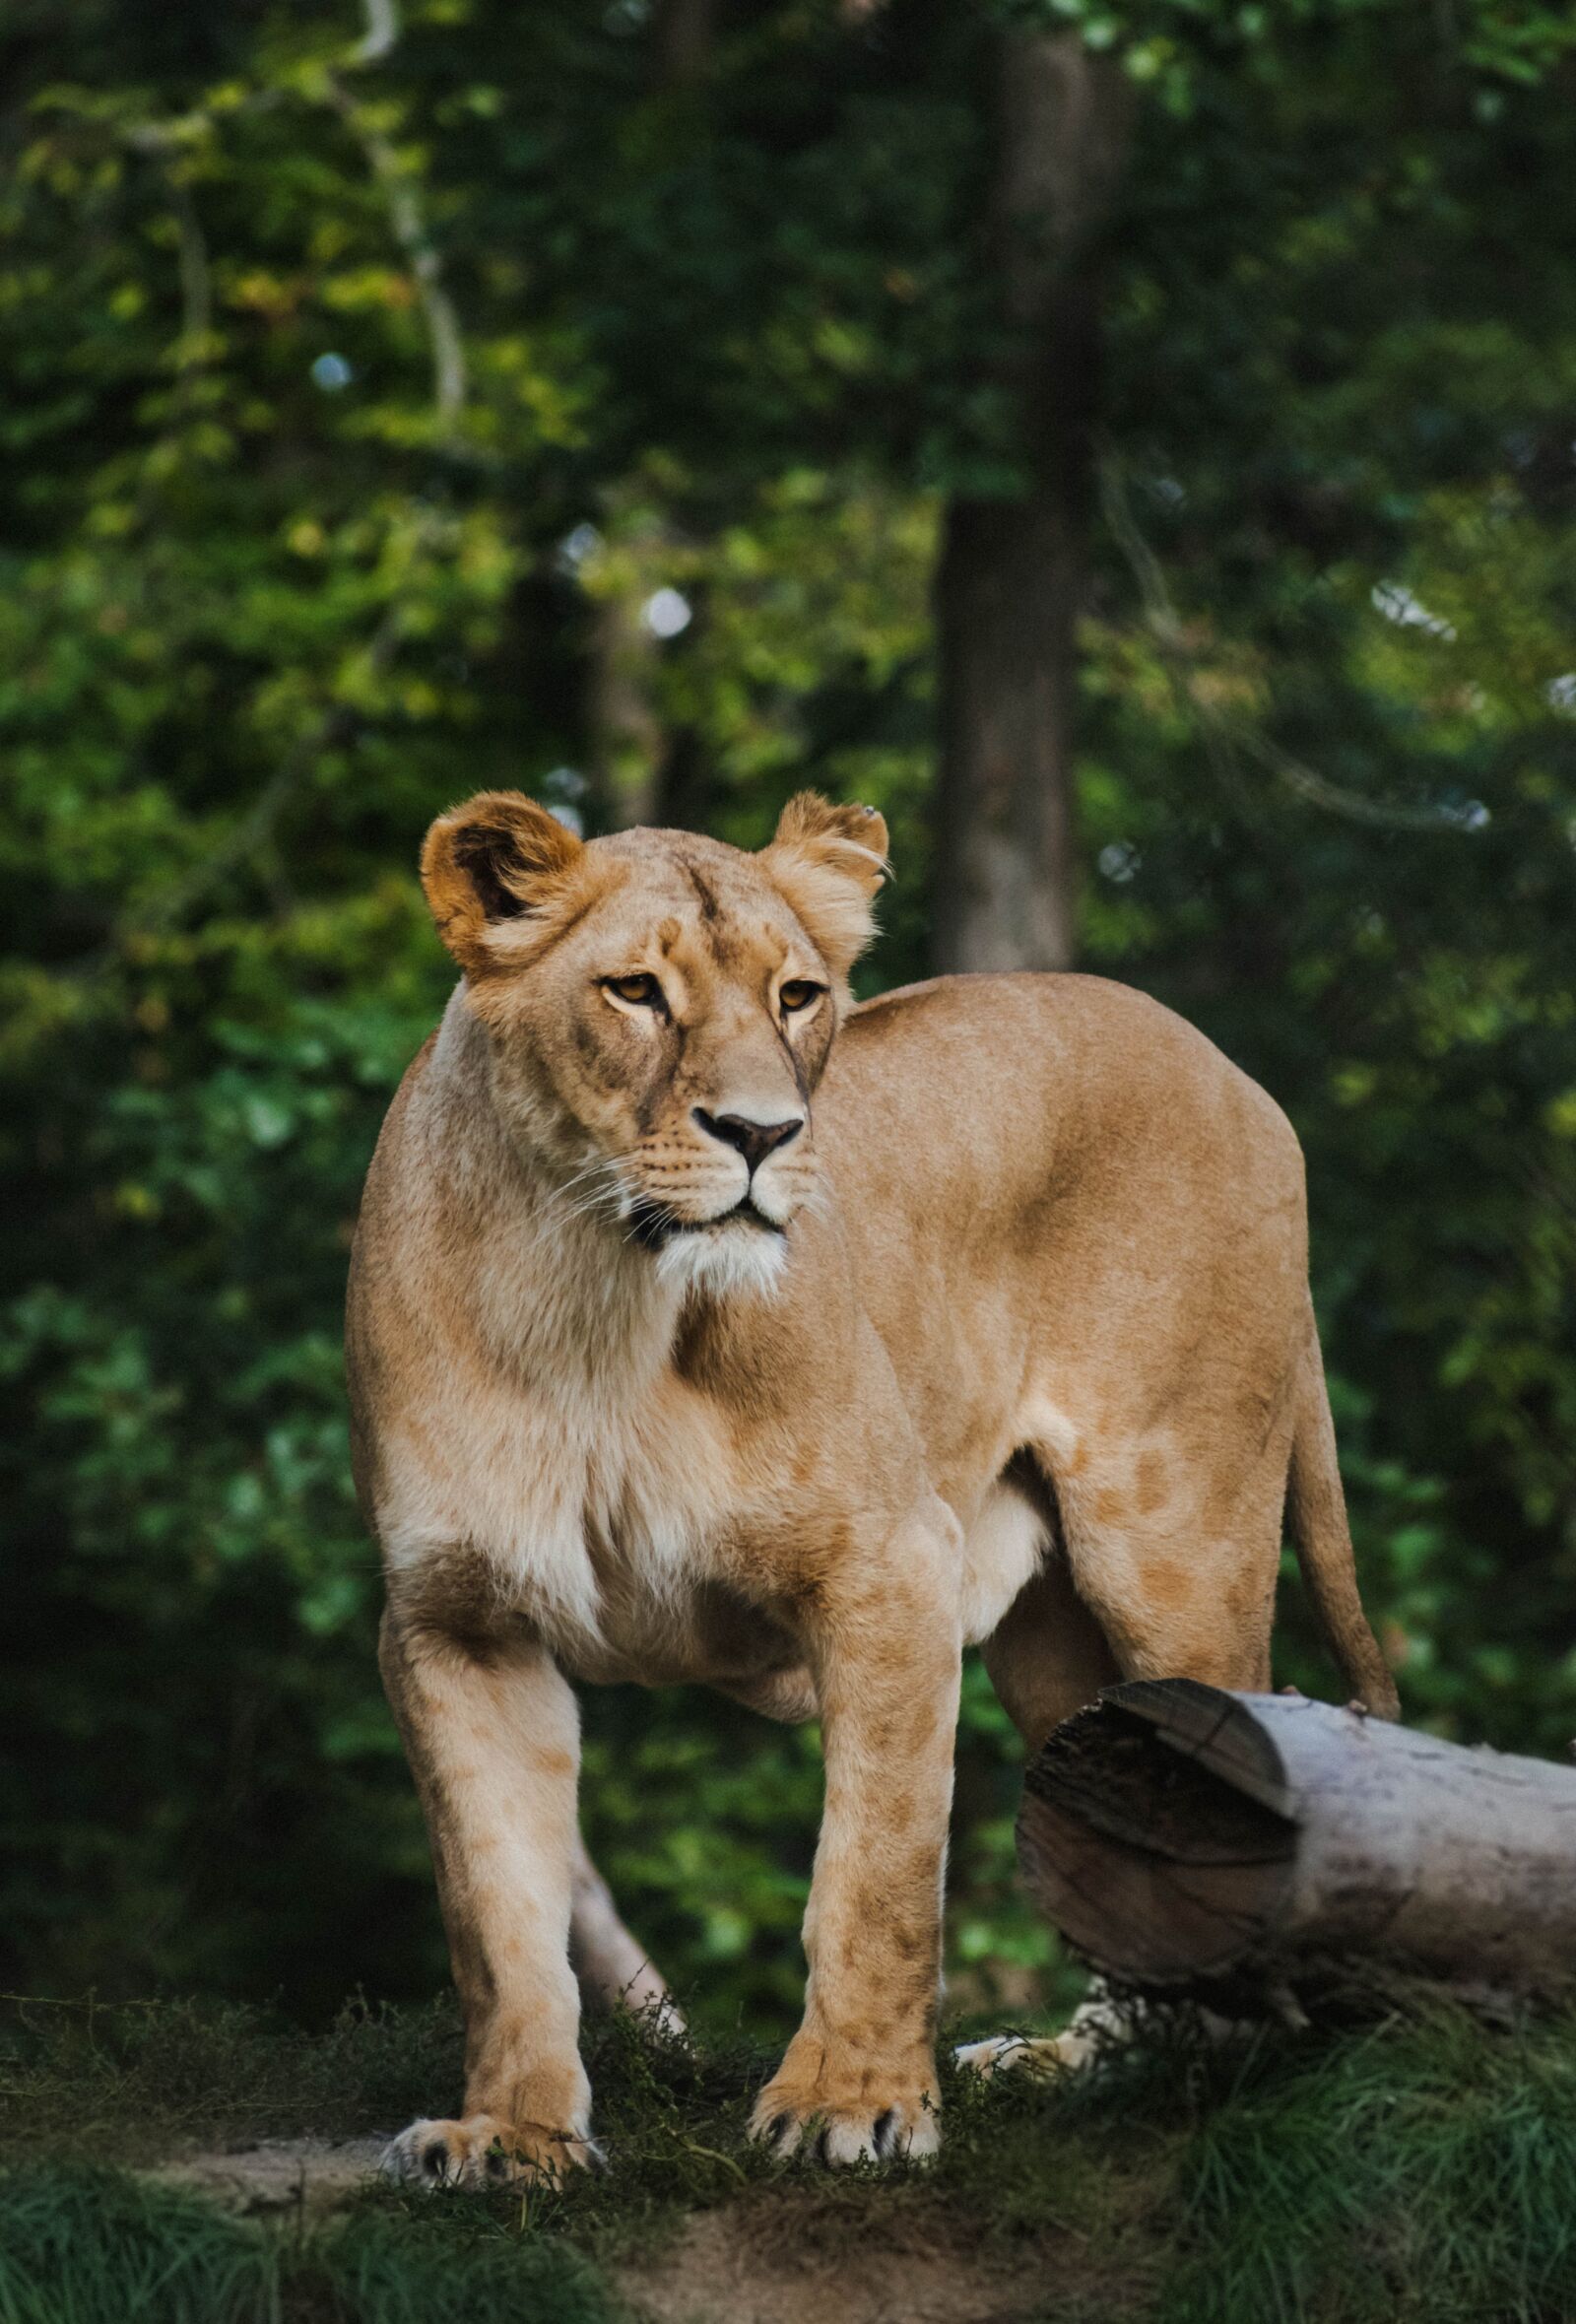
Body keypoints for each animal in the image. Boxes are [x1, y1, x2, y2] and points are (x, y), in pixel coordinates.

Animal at [345, 788, 1396, 2186]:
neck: (590, 1291)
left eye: (796, 996)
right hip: (1055, 1633)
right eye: (634, 991)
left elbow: (875, 1868)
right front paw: (514, 2133)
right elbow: (497, 1911)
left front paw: (852, 2103)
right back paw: (1084, 2063)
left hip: (1174, 1540)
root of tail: (1233, 1071)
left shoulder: (890, 1563)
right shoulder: (455, 1619)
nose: (762, 1135)